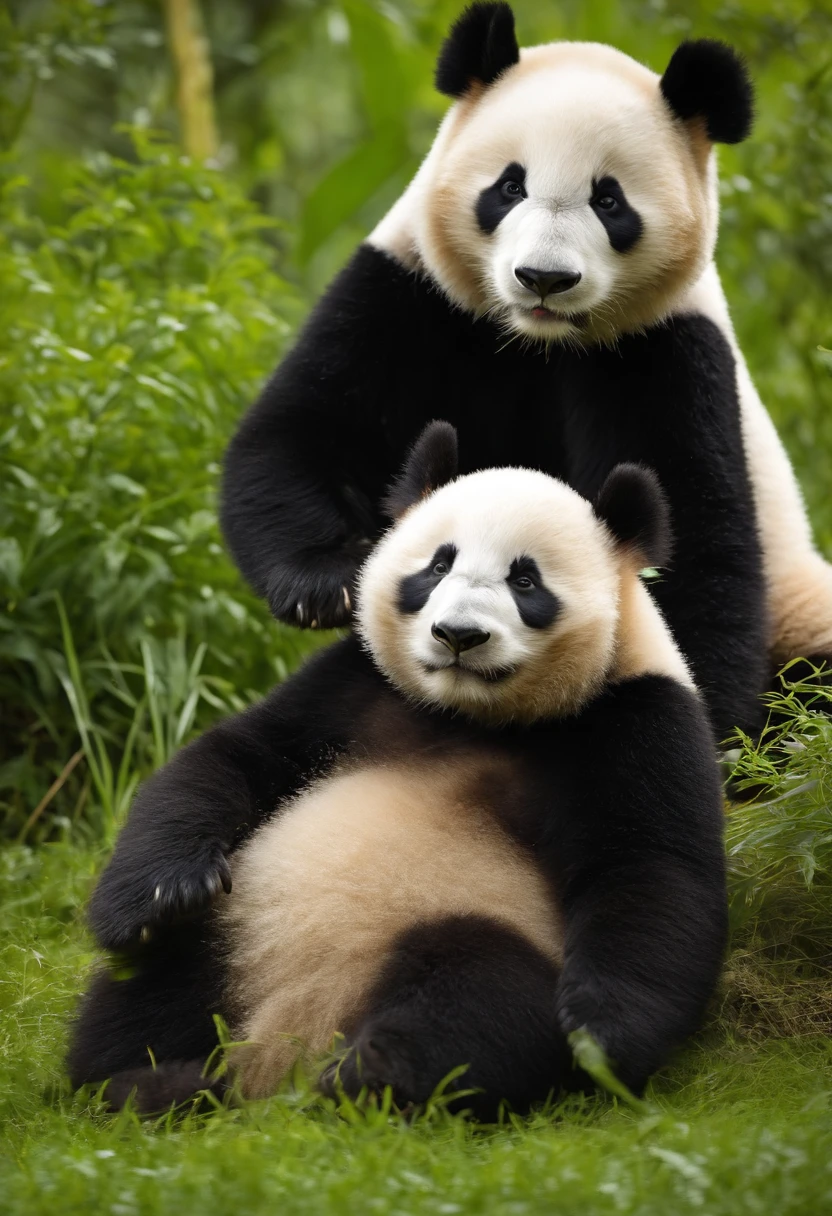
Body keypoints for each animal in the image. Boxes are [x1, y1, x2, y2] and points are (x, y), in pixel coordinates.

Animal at [68, 423, 724, 1113]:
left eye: (526, 582)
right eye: (437, 566)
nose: (458, 635)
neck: (468, 714)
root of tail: (278, 1059)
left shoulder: (638, 715)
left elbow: (649, 868)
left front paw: (600, 1040)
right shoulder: (356, 682)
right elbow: (235, 755)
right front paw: (159, 895)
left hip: (469, 925)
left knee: (479, 998)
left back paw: (366, 1077)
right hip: (234, 927)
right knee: (150, 991)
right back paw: (146, 1081)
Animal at [216, 0, 832, 739]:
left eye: (609, 201)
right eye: (510, 187)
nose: (544, 277)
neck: (537, 343)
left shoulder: (664, 349)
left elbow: (683, 533)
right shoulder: (413, 292)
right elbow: (302, 432)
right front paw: (327, 584)